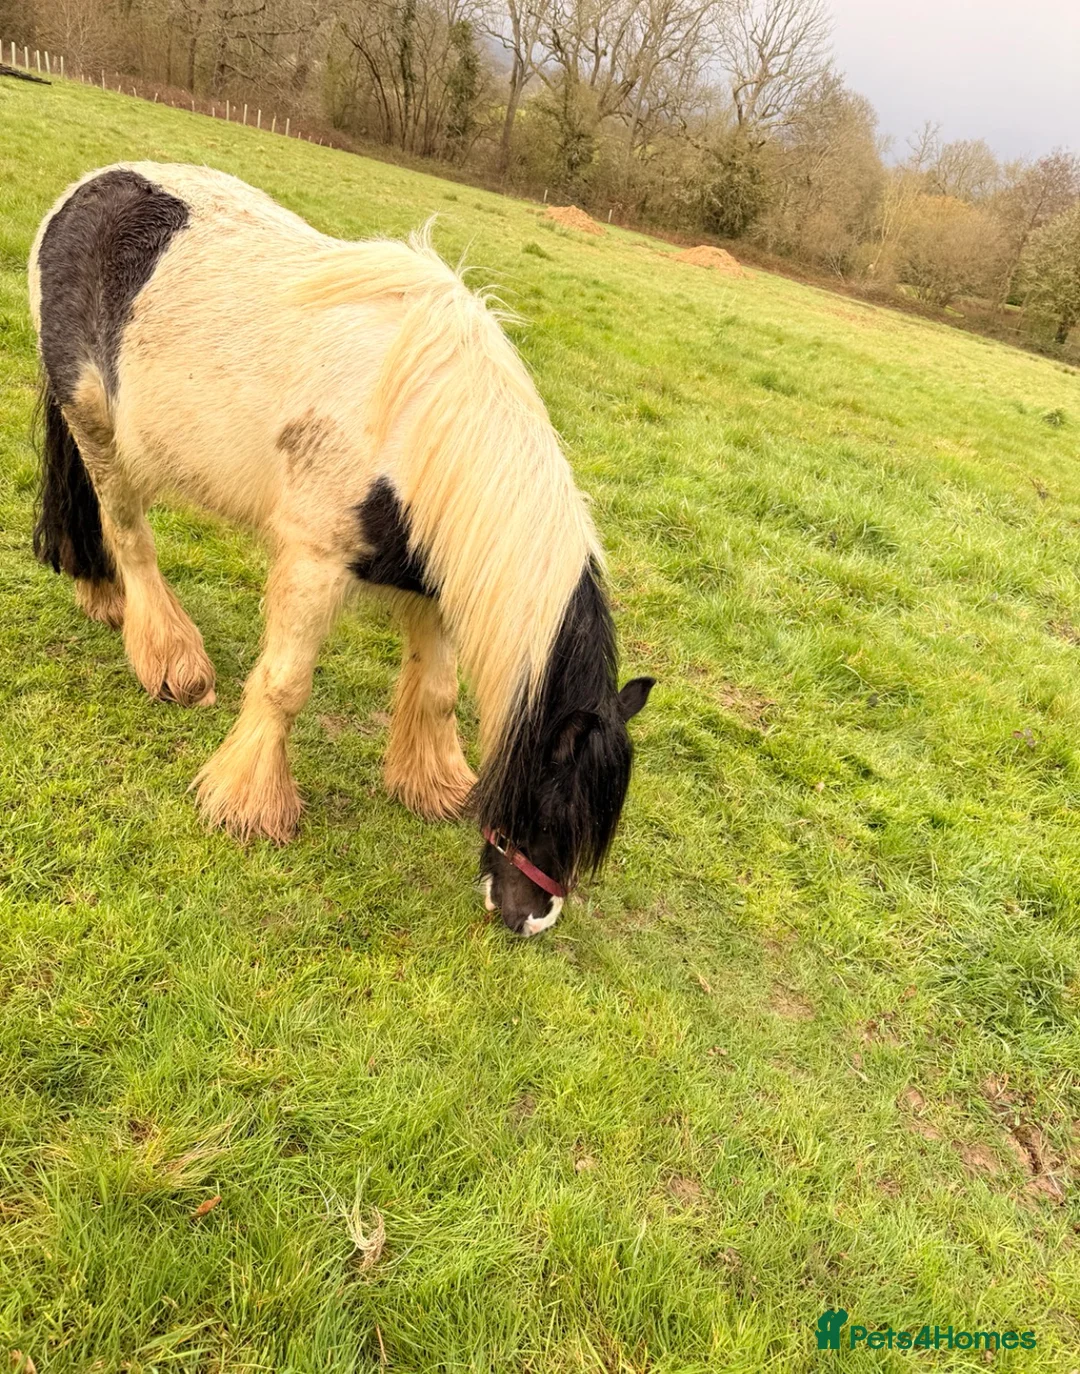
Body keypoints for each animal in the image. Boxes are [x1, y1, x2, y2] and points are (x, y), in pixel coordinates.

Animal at [28, 163, 654, 935]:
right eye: (552, 802)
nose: (531, 919)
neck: (420, 426)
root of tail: (86, 192)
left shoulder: (433, 579)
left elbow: (438, 690)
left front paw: (431, 783)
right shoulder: (315, 564)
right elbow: (284, 685)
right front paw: (249, 804)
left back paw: (102, 597)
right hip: (97, 427)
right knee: (127, 533)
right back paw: (171, 659)